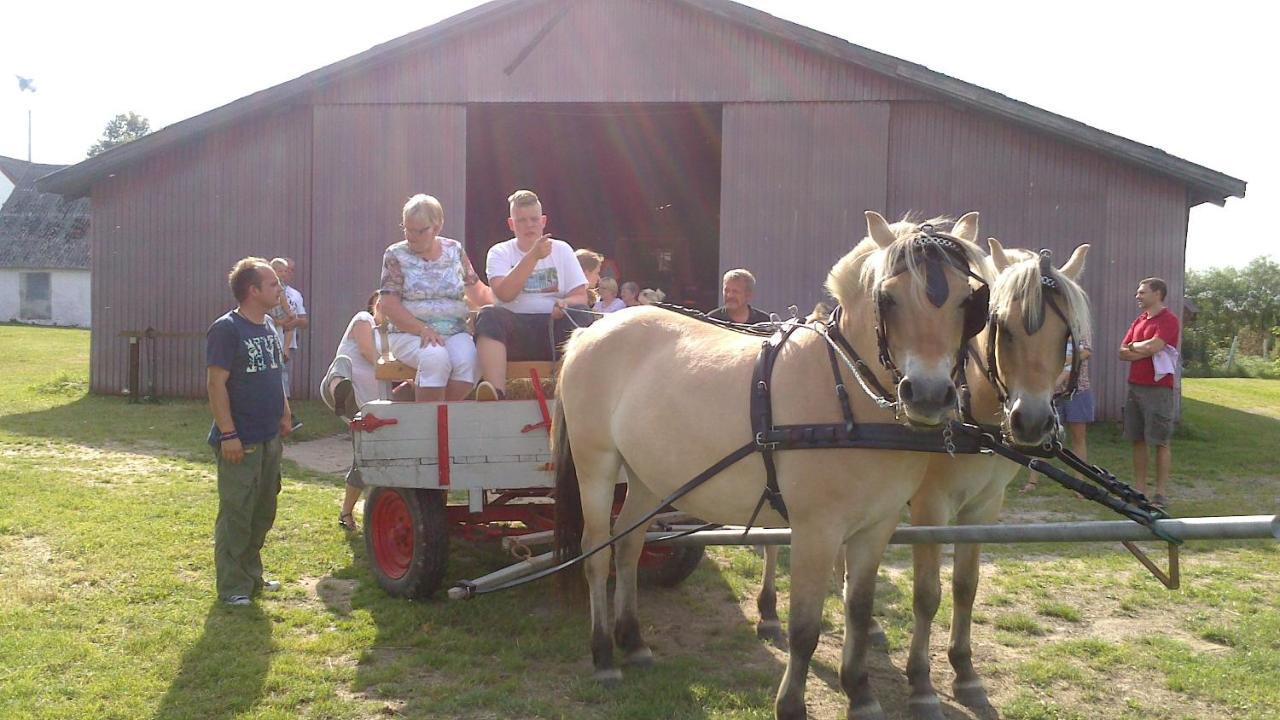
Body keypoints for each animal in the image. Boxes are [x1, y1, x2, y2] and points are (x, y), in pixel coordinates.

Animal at [555, 210, 983, 712]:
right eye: (889, 298)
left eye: (967, 302)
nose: (929, 396)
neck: (849, 396)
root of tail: (590, 330)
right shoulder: (817, 530)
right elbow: (804, 627)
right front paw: (792, 704)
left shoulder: (877, 526)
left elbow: (858, 608)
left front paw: (859, 691)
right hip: (597, 463)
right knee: (596, 552)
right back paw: (604, 655)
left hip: (646, 476)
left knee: (627, 546)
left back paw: (633, 641)